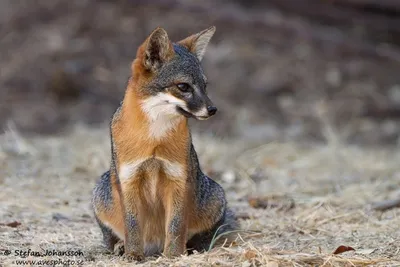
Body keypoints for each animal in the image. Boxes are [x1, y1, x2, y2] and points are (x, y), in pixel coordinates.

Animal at [91, 25, 238, 262]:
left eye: (205, 86)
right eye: (183, 86)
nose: (213, 109)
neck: (154, 139)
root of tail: (154, 245)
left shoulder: (177, 179)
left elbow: (176, 226)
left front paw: (173, 255)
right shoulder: (129, 179)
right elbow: (132, 225)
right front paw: (133, 254)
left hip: (215, 196)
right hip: (101, 195)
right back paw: (120, 246)